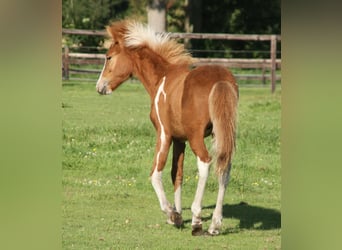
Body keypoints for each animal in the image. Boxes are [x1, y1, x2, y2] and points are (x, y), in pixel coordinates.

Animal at [95, 20, 239, 235]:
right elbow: (176, 174)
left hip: (197, 137)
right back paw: (215, 224)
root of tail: (221, 79)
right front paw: (177, 214)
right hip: (220, 134)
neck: (162, 78)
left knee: (205, 163)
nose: (100, 87)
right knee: (224, 168)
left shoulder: (164, 134)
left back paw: (197, 221)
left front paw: (172, 214)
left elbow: (156, 172)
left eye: (108, 57)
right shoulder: (180, 140)